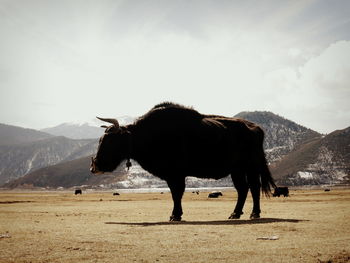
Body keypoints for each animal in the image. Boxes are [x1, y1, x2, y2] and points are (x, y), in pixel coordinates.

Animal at [90, 102, 276, 222]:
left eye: (111, 140)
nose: (94, 166)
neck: (148, 135)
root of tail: (256, 128)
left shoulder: (176, 174)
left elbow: (176, 193)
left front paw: (175, 215)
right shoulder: (172, 175)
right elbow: (176, 193)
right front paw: (176, 214)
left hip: (251, 166)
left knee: (254, 187)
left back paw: (254, 214)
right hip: (237, 170)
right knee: (243, 189)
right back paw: (235, 214)